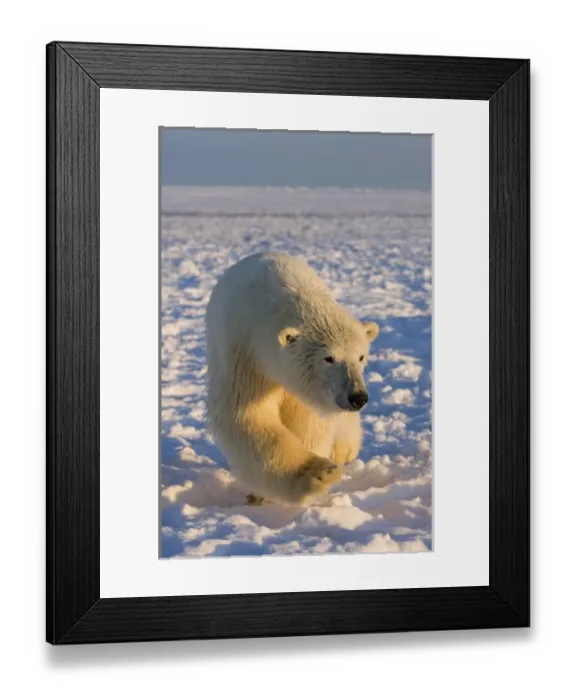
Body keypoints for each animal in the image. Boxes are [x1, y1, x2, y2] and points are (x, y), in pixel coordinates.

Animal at [205, 253, 379, 506]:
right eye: (329, 358)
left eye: (361, 356)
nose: (357, 397)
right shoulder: (244, 354)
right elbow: (246, 416)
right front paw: (320, 473)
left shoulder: (305, 387)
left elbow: (308, 422)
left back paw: (344, 450)